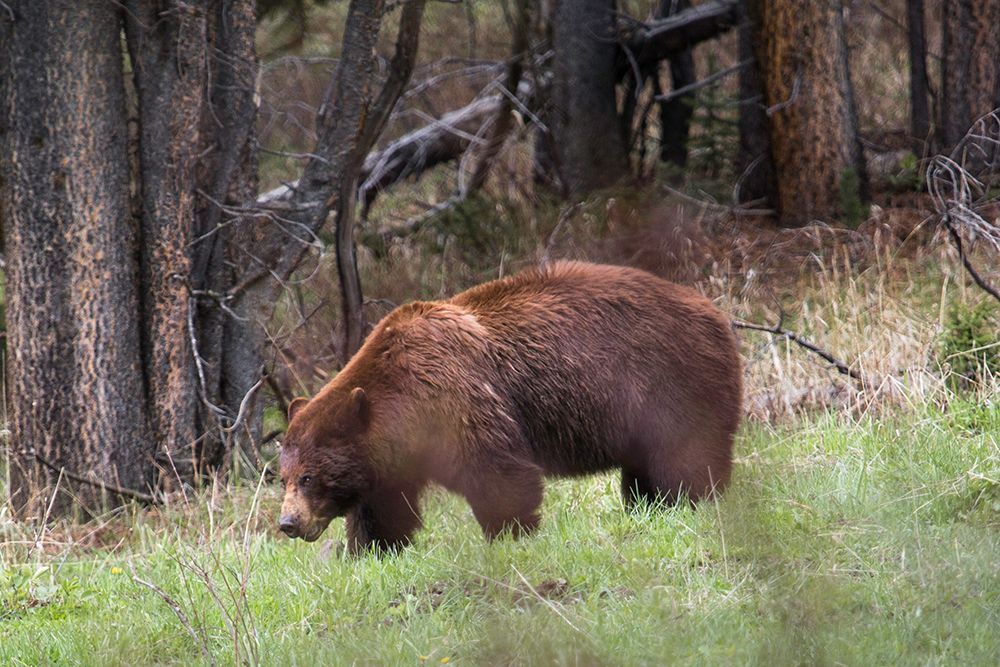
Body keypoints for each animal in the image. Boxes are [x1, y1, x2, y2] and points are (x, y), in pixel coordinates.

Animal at [278, 261, 742, 553]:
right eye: (281, 477)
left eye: (307, 477)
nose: (287, 523)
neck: (403, 406)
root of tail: (715, 312)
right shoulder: (391, 459)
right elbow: (382, 510)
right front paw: (370, 549)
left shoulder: (455, 398)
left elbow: (497, 471)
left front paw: (509, 534)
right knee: (644, 472)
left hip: (672, 381)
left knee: (687, 456)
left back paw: (694, 501)